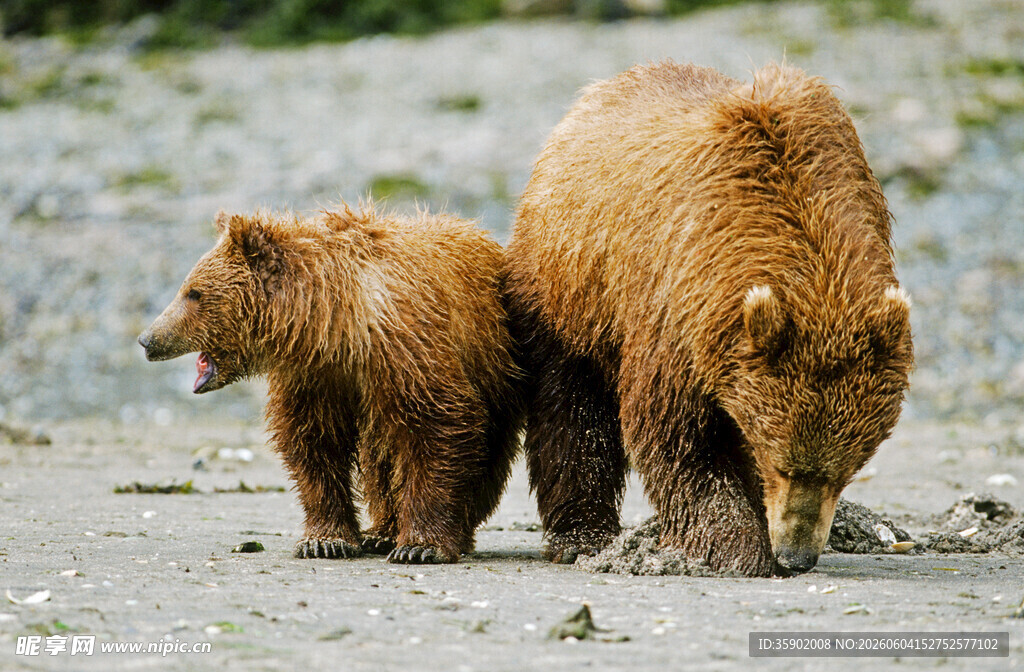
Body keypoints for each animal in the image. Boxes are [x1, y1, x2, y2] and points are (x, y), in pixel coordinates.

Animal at [139, 204, 524, 564]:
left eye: (194, 293)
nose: (148, 339)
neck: (335, 326)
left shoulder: (406, 353)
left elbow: (438, 428)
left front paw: (420, 545)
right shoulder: (315, 376)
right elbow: (313, 442)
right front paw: (325, 540)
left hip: (493, 367)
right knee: (379, 458)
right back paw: (381, 532)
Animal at [504, 61, 914, 577]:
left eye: (847, 468)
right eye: (782, 462)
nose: (796, 555)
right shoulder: (679, 300)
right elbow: (680, 436)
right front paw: (740, 547)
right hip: (572, 283)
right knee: (574, 409)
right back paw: (583, 536)